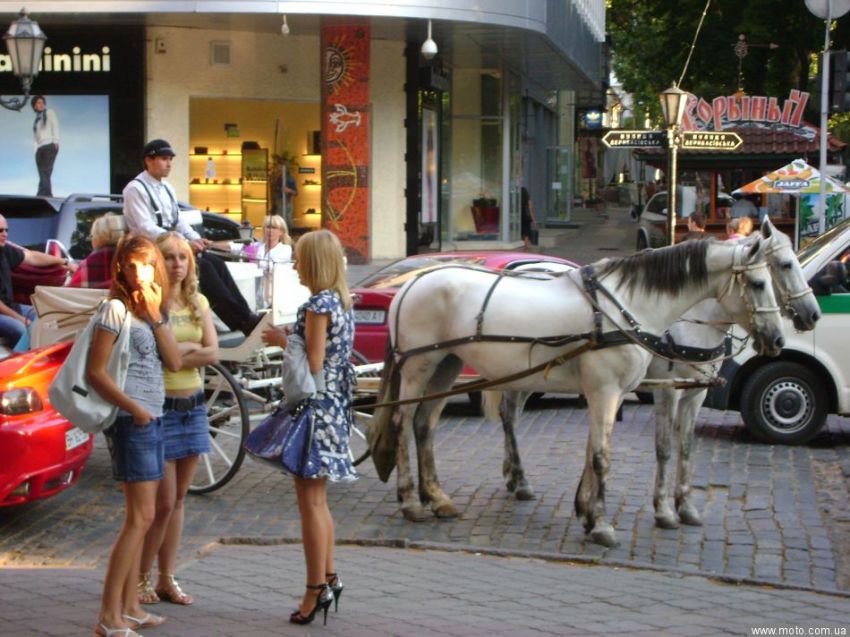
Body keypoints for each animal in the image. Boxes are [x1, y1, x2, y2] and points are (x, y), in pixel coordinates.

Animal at [374, 236, 784, 544]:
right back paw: (411, 502)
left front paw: (586, 512)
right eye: (760, 283)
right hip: (419, 367)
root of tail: (410, 283)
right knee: (402, 421)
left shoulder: (610, 394)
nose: (779, 338)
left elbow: (593, 452)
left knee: (425, 424)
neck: (624, 307)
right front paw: (601, 524)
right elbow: (603, 457)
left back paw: (437, 498)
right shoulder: (608, 390)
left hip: (446, 365)